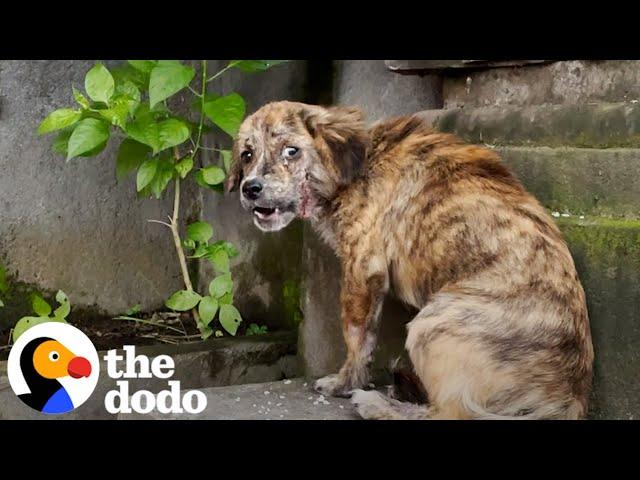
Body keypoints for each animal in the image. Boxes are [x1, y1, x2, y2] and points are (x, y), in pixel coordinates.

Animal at [225, 101, 596, 420]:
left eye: (292, 151)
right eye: (247, 154)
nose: (250, 188)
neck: (358, 167)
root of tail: (568, 398)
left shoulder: (362, 269)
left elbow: (357, 337)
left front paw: (344, 384)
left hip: (431, 324)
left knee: (448, 414)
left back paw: (376, 404)